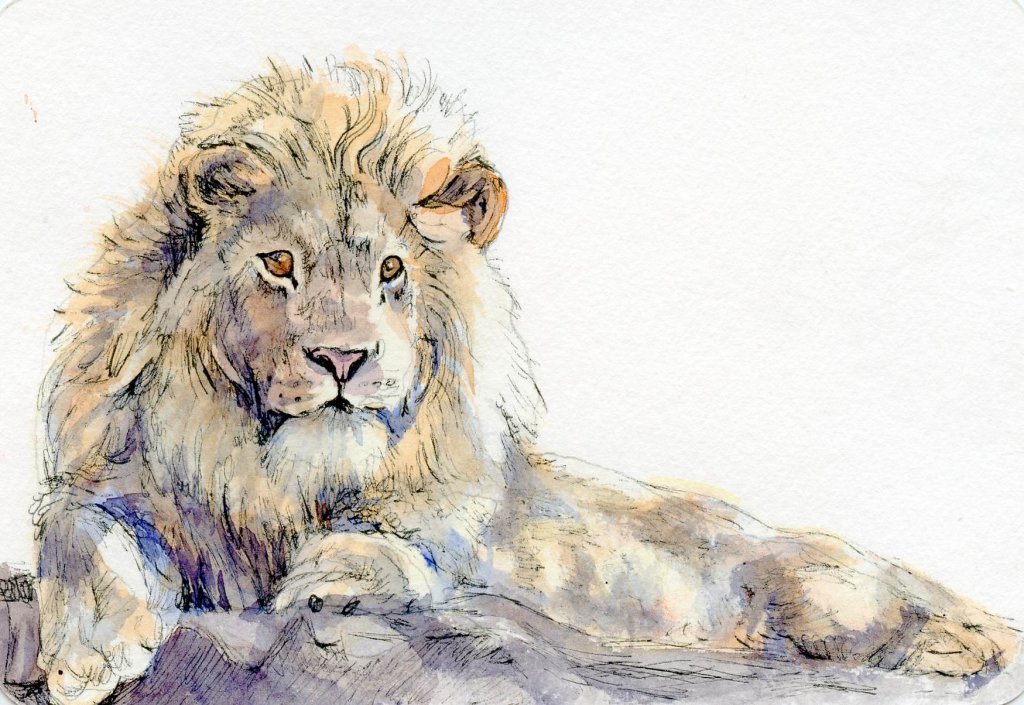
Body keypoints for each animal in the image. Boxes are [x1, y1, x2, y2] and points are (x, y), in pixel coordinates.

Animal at [33, 55, 1018, 705]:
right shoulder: (115, 483)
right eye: (279, 263)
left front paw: (331, 574)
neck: (278, 476)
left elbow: (407, 547)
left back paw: (949, 646)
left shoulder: (467, 533)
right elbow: (76, 531)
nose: (345, 359)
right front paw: (86, 655)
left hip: (814, 580)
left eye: (391, 270)